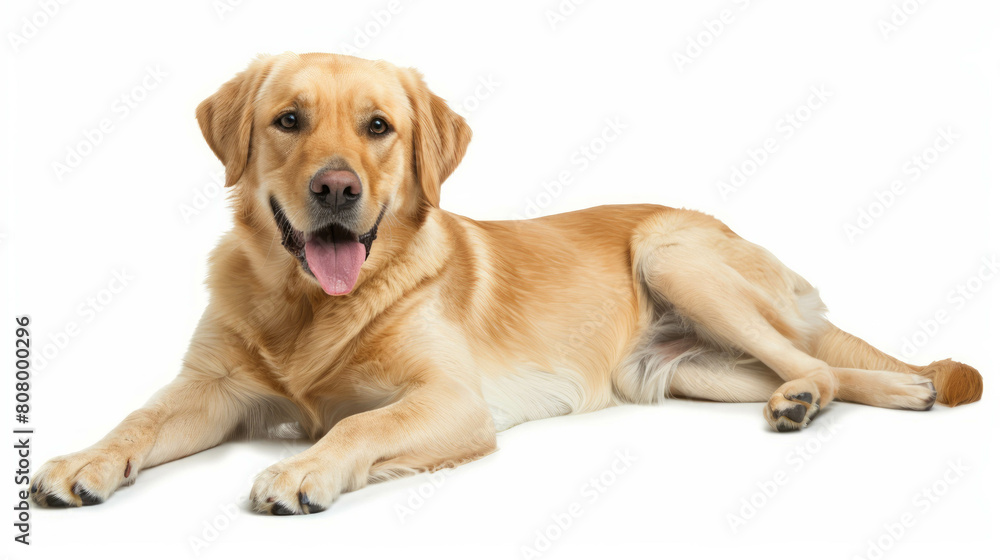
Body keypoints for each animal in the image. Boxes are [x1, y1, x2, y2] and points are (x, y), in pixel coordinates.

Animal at [31, 52, 984, 512]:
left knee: (813, 358)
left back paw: (848, 396)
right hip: (686, 371)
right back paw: (882, 392)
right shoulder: (212, 389)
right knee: (820, 367)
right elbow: (136, 420)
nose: (336, 190)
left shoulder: (450, 401)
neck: (310, 304)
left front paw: (304, 473)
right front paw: (83, 460)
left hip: (675, 257)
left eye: (378, 127)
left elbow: (352, 428)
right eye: (288, 120)